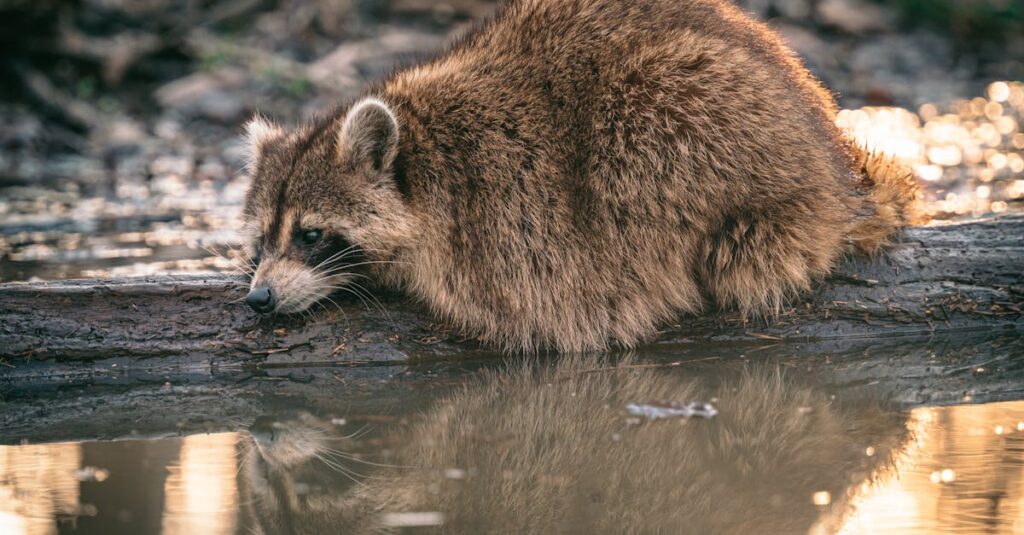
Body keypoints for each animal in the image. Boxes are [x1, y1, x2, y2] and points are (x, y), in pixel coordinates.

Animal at [239, 0, 921, 350]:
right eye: (262, 240)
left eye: (311, 235)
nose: (258, 298)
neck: (423, 151)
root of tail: (835, 162)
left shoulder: (509, 212)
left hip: (697, 114)